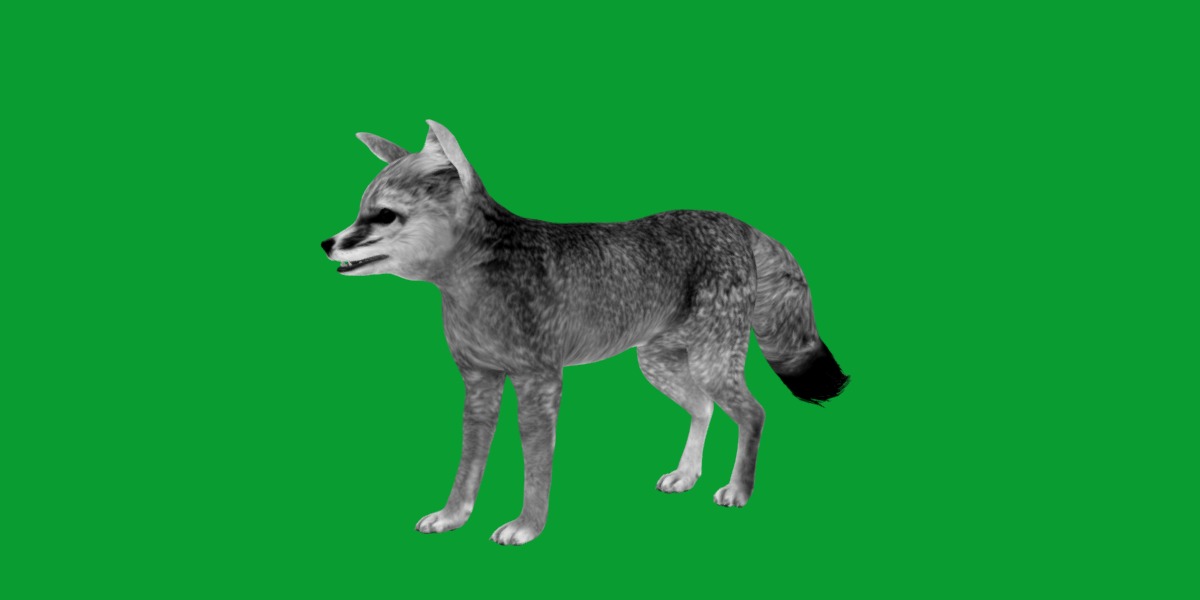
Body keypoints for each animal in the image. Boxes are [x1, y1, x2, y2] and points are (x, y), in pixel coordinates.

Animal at [321, 120, 849, 545]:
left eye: (383, 215)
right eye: (360, 210)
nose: (327, 243)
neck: (474, 285)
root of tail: (735, 222)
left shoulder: (540, 383)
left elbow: (536, 465)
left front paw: (527, 526)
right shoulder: (479, 383)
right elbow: (469, 464)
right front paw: (453, 517)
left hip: (710, 363)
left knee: (754, 413)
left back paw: (739, 489)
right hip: (659, 365)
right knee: (704, 408)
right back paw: (686, 474)